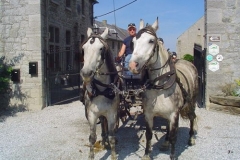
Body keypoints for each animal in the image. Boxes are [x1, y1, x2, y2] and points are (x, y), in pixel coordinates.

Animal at [80, 27, 120, 160]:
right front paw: (91, 155)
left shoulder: (112, 114)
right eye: (83, 49)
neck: (102, 90)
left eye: (101, 48)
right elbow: (92, 138)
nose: (86, 73)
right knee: (102, 122)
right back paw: (103, 139)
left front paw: (113, 155)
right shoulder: (92, 114)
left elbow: (112, 137)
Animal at [129, 17, 199, 160]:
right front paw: (147, 154)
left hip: (192, 102)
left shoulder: (174, 114)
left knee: (192, 117)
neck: (159, 87)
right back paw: (165, 142)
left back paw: (191, 138)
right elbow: (149, 135)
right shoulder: (149, 114)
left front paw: (172, 155)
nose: (133, 65)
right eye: (133, 42)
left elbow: (174, 137)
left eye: (151, 41)